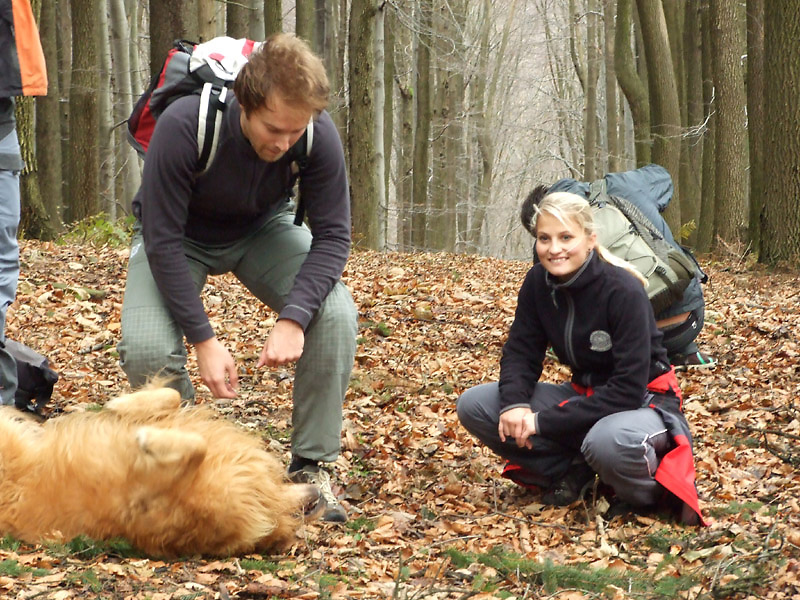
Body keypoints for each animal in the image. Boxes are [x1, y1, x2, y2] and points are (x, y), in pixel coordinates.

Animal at [0, 384, 322, 556]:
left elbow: (196, 446)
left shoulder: (152, 495)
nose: (318, 493)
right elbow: (173, 395)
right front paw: (120, 406)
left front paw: (146, 437)